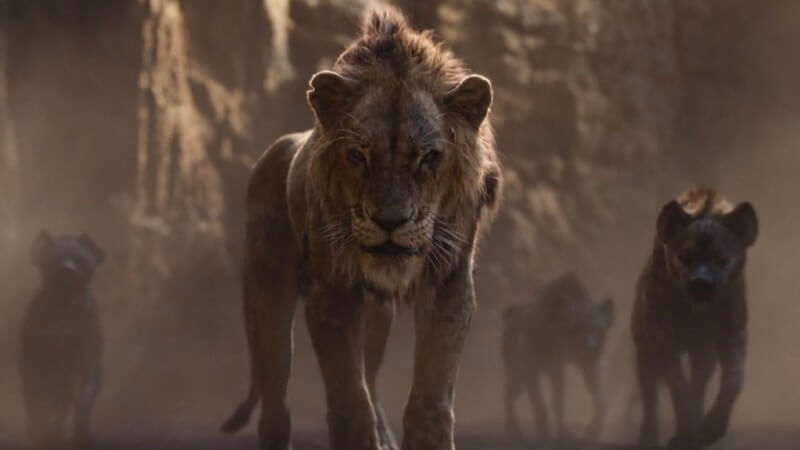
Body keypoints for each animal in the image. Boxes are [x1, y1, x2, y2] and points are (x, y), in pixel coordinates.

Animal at [20, 230, 105, 448]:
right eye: (53, 259)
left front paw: (81, 434)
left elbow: (83, 401)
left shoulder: (87, 363)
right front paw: (40, 432)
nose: (67, 270)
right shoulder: (37, 364)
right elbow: (39, 404)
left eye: (80, 259)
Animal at [221, 7, 501, 450]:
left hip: (377, 315)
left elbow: (429, 399)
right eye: (357, 155)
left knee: (368, 374)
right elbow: (350, 400)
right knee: (275, 405)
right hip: (267, 297)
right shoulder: (331, 290)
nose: (389, 221)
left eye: (428, 157)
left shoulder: (450, 283)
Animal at [503, 272, 614, 441]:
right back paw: (514, 429)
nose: (592, 347)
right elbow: (542, 401)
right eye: (576, 327)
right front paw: (543, 429)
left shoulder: (584, 364)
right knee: (510, 393)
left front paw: (591, 431)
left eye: (599, 328)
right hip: (516, 369)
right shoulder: (534, 364)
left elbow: (599, 399)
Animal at [632, 187, 758, 448]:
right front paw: (684, 434)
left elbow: (734, 379)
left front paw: (711, 429)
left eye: (722, 259)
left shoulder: (733, 333)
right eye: (684, 257)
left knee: (699, 384)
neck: (698, 314)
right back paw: (650, 438)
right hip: (645, 351)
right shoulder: (663, 338)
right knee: (650, 396)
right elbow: (678, 388)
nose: (701, 283)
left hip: (702, 354)